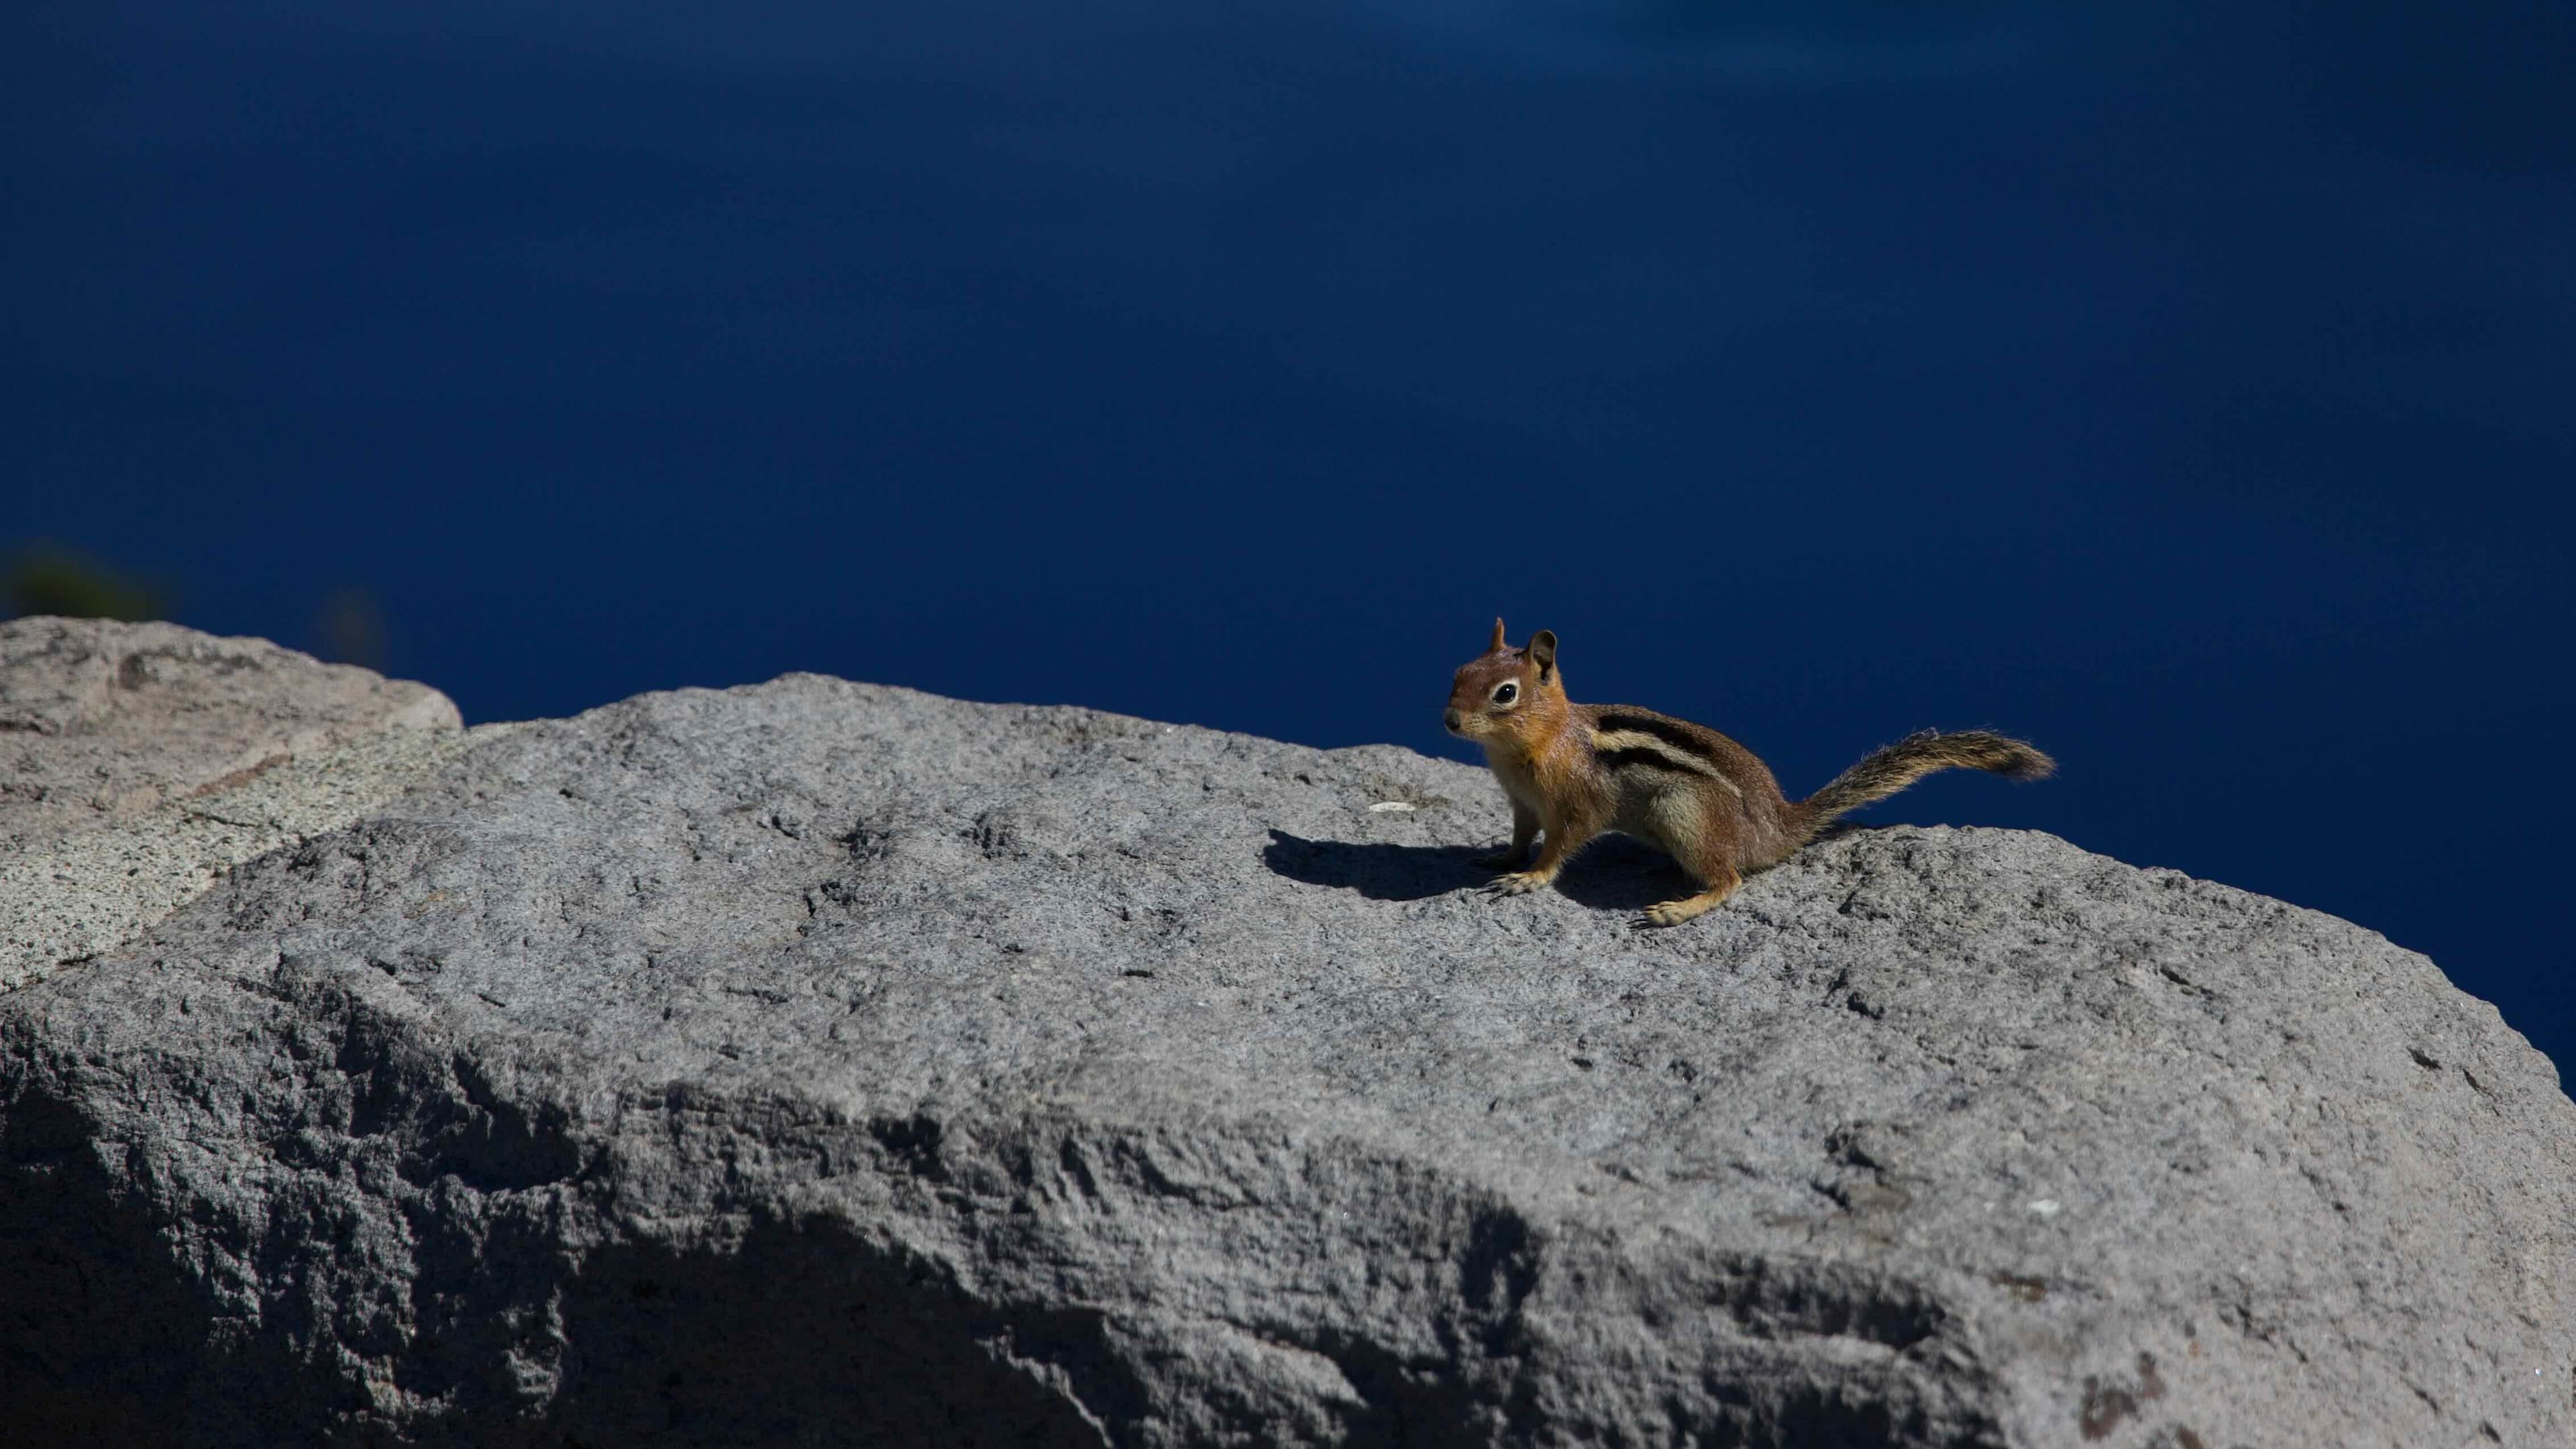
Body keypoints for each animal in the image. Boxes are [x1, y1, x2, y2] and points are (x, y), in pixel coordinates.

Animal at [1442, 619, 2061, 922]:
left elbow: (1561, 845)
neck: (1538, 741)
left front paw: (1529, 878)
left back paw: (1678, 910)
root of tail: (1777, 825)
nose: (1449, 720)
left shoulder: (1575, 803)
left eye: (1505, 694)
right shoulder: (1522, 802)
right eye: (1459, 672)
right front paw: (1500, 858)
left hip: (1682, 811)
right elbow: (1520, 835)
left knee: (1731, 880)